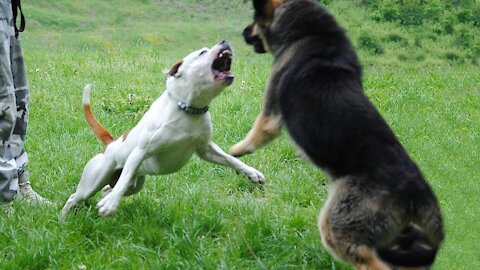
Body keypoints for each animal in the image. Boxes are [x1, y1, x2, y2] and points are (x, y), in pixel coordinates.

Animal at [60, 41, 264, 219]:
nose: (224, 42)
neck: (188, 110)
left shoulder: (205, 149)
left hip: (135, 185)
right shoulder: (140, 152)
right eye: (202, 52)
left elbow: (230, 159)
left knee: (112, 188)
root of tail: (111, 144)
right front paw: (110, 205)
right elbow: (126, 175)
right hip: (94, 180)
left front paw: (251, 173)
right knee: (76, 196)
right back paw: (64, 218)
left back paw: (106, 196)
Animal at [231, 1, 444, 268]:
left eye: (254, 22)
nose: (242, 32)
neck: (313, 33)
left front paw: (236, 151)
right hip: (399, 241)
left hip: (338, 225)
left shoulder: (272, 111)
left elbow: (258, 132)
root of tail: (416, 192)